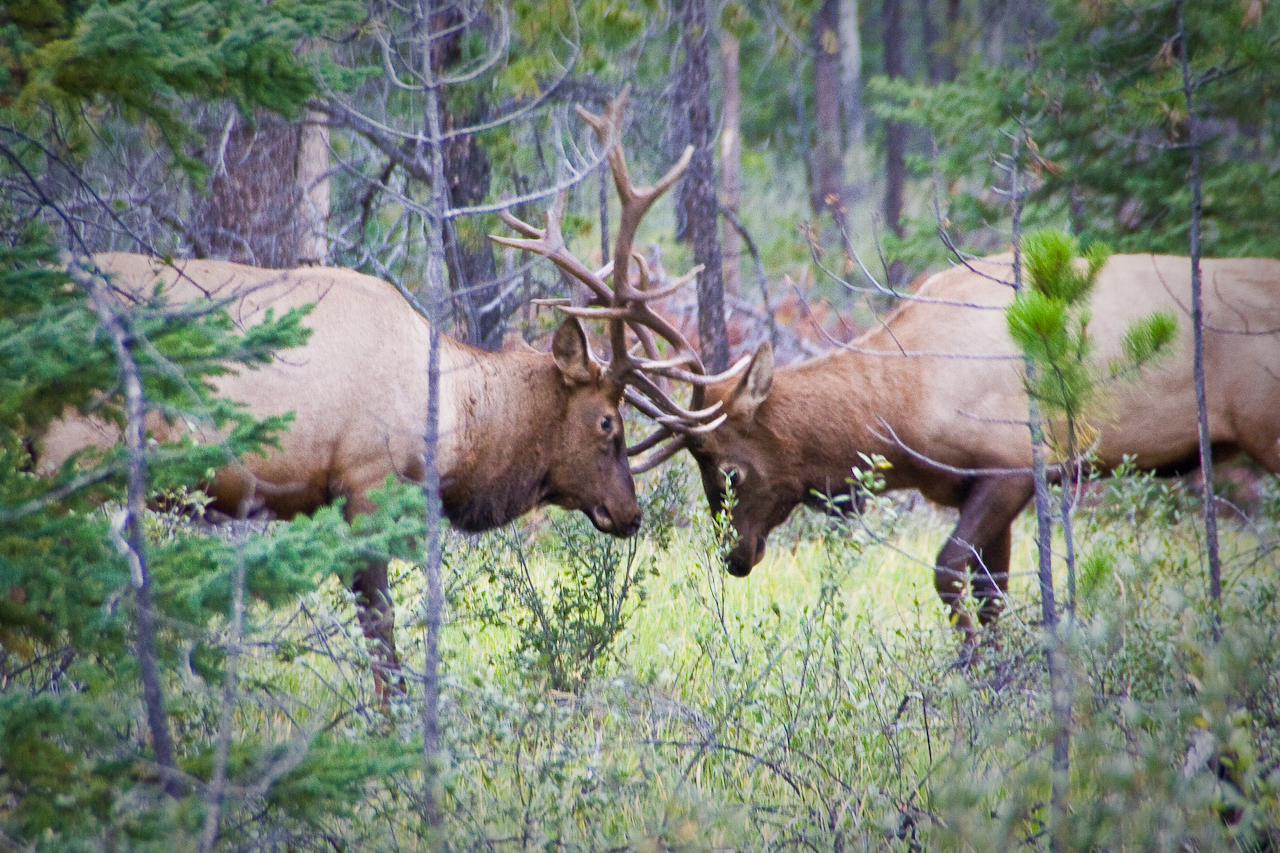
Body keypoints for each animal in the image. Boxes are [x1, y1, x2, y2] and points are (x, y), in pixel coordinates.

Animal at [660, 252, 1280, 630]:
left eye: (730, 469)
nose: (734, 555)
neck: (905, 405)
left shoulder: (1014, 466)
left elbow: (949, 570)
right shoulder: (972, 486)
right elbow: (992, 590)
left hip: (1266, 431)